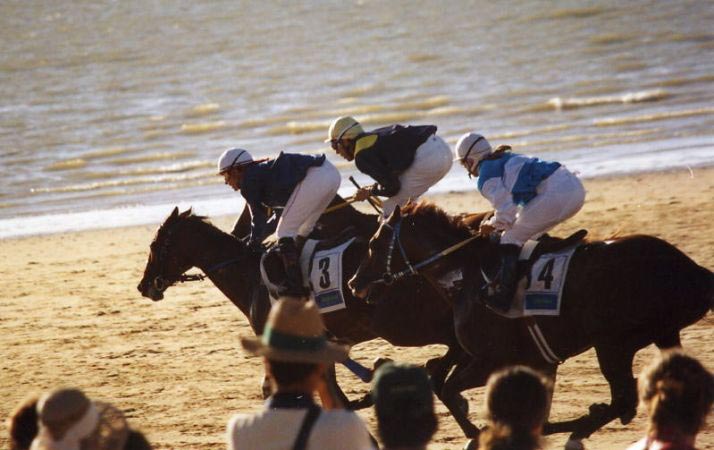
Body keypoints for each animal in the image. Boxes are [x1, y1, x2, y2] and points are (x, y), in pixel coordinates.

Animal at [136, 197, 482, 426]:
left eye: (155, 246)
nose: (143, 286)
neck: (251, 277)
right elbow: (331, 398)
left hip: (402, 324)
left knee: (454, 344)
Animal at [350, 202, 712, 442]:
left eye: (374, 244)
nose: (354, 283)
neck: (466, 275)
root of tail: (692, 269)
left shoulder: (493, 359)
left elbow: (450, 387)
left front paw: (478, 432)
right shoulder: (529, 360)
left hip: (613, 343)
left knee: (624, 398)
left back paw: (584, 426)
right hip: (662, 334)